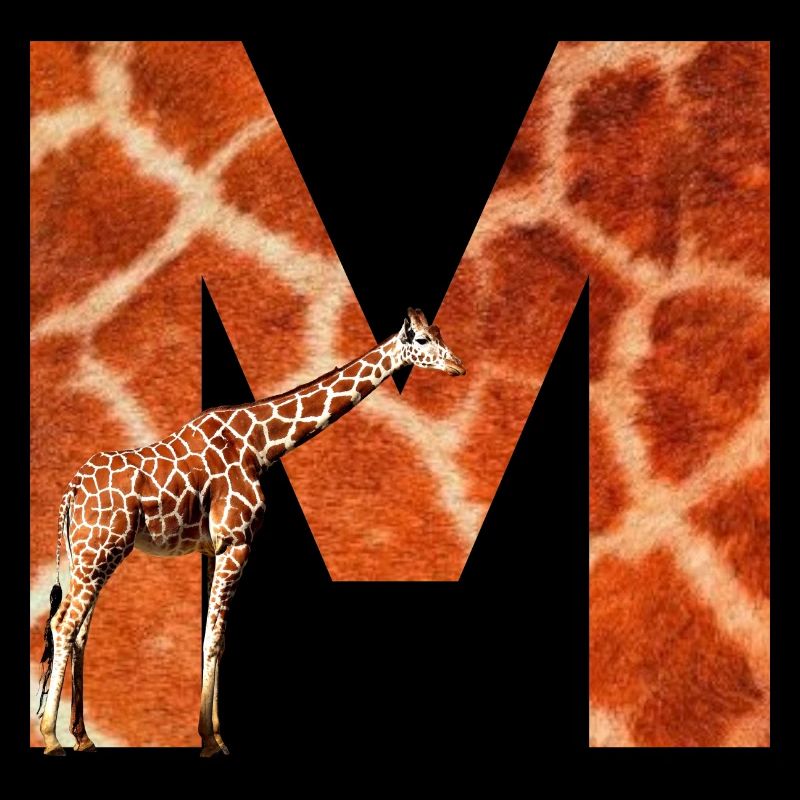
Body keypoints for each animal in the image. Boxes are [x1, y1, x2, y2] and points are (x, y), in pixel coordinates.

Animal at [37, 307, 465, 757]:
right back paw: (51, 737)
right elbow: (213, 638)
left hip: (87, 555)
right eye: (420, 339)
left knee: (78, 631)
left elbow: (217, 637)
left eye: (438, 332)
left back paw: (83, 737)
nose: (458, 366)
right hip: (100, 551)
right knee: (64, 626)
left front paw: (218, 734)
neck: (260, 443)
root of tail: (72, 490)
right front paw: (210, 740)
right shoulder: (236, 541)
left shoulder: (213, 548)